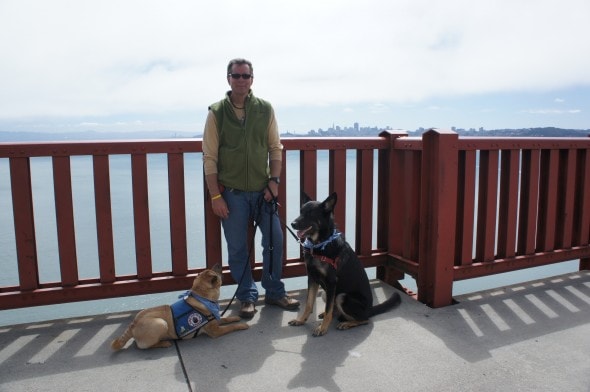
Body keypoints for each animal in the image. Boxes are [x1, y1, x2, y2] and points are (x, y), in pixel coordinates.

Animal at [112, 264, 249, 350]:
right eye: (215, 272)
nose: (219, 263)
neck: (202, 296)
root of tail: (132, 324)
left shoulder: (215, 319)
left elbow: (225, 318)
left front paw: (235, 318)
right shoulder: (215, 331)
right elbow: (231, 327)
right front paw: (241, 325)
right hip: (160, 323)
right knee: (144, 346)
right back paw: (164, 343)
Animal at [288, 191, 400, 336]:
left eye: (310, 214)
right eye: (301, 211)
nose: (292, 224)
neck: (320, 244)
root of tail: (370, 309)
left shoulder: (331, 282)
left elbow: (328, 309)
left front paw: (322, 328)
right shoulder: (312, 278)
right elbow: (309, 304)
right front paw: (301, 320)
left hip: (341, 296)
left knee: (364, 319)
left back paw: (347, 323)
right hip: (326, 293)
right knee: (335, 310)